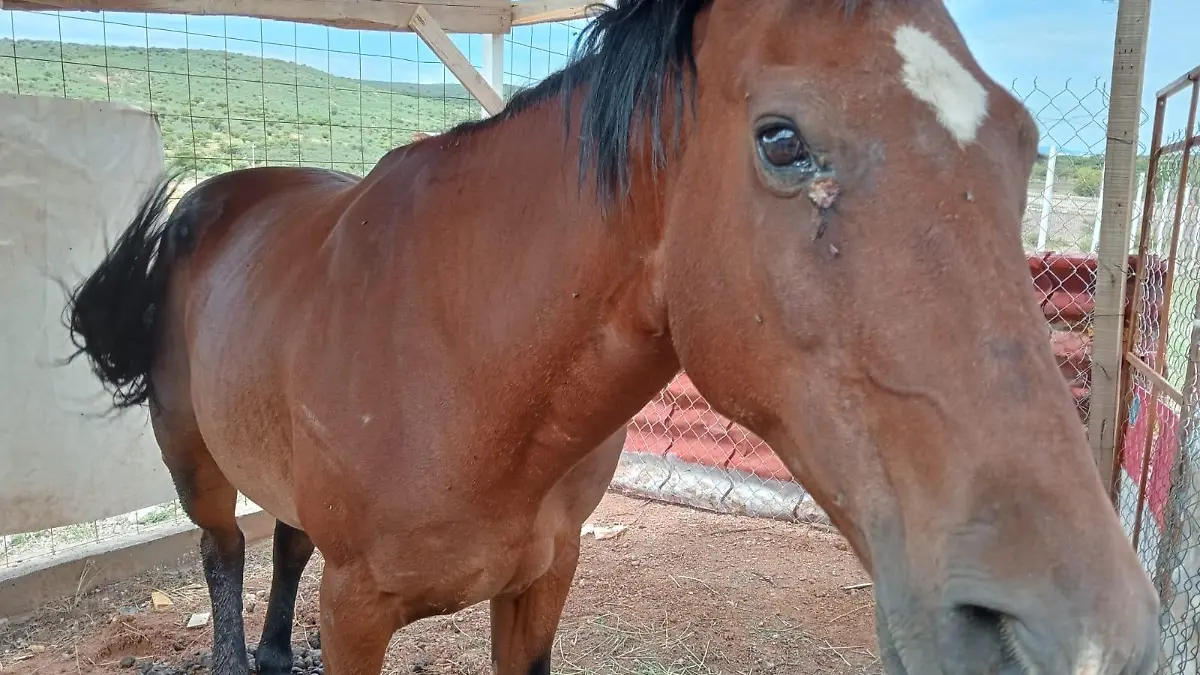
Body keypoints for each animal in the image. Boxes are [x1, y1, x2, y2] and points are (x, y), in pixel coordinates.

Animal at [60, 1, 1156, 672]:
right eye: (782, 139)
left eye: (1021, 144)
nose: (1076, 632)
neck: (467, 365)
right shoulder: (359, 607)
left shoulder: (545, 583)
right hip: (194, 463)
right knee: (223, 554)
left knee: (282, 541)